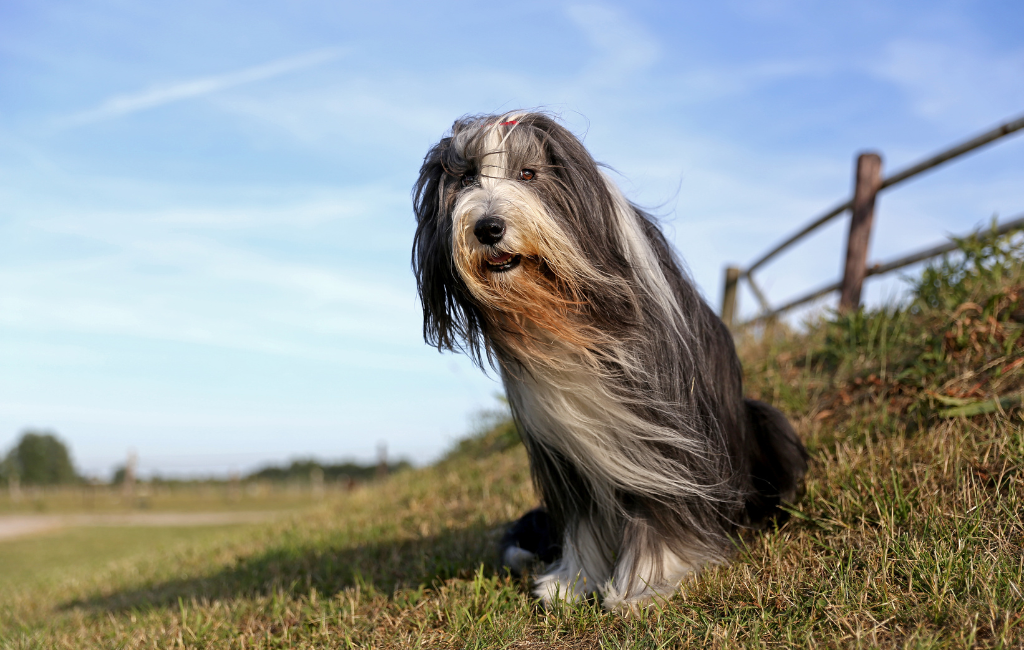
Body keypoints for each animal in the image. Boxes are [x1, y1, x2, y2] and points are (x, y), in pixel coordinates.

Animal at [409, 113, 806, 614]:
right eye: (465, 179)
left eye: (528, 174)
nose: (487, 227)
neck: (568, 311)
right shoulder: (565, 447)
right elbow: (584, 521)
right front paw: (570, 583)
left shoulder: (662, 437)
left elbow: (661, 511)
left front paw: (644, 586)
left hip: (764, 422)